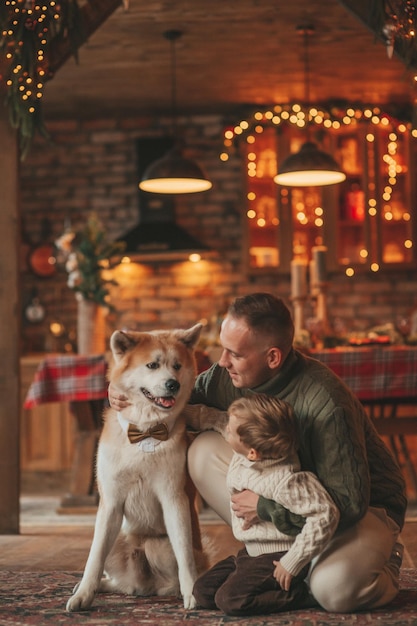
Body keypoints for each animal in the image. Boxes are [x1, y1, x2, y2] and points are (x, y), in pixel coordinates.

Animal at [65, 322, 206, 608]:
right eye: (152, 365)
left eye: (177, 365)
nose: (172, 384)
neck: (145, 432)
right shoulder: (110, 503)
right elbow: (93, 559)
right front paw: (84, 595)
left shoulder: (174, 499)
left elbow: (184, 556)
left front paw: (192, 593)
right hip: (116, 536)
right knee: (124, 582)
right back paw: (100, 586)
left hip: (159, 547)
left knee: (162, 582)